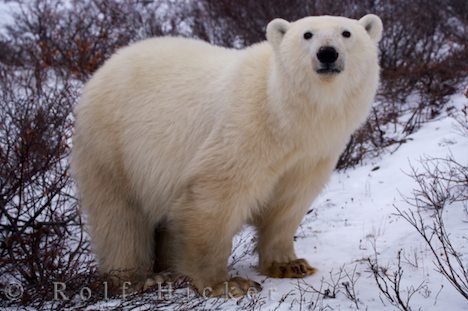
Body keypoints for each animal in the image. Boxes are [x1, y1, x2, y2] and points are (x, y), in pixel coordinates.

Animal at [71, 14, 382, 298]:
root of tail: (101, 70)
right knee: (120, 218)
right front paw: (227, 283)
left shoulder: (311, 155)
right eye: (307, 34)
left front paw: (289, 265)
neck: (285, 116)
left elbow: (288, 204)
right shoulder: (245, 128)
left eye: (346, 33)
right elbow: (216, 196)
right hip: (113, 147)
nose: (327, 53)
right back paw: (140, 278)